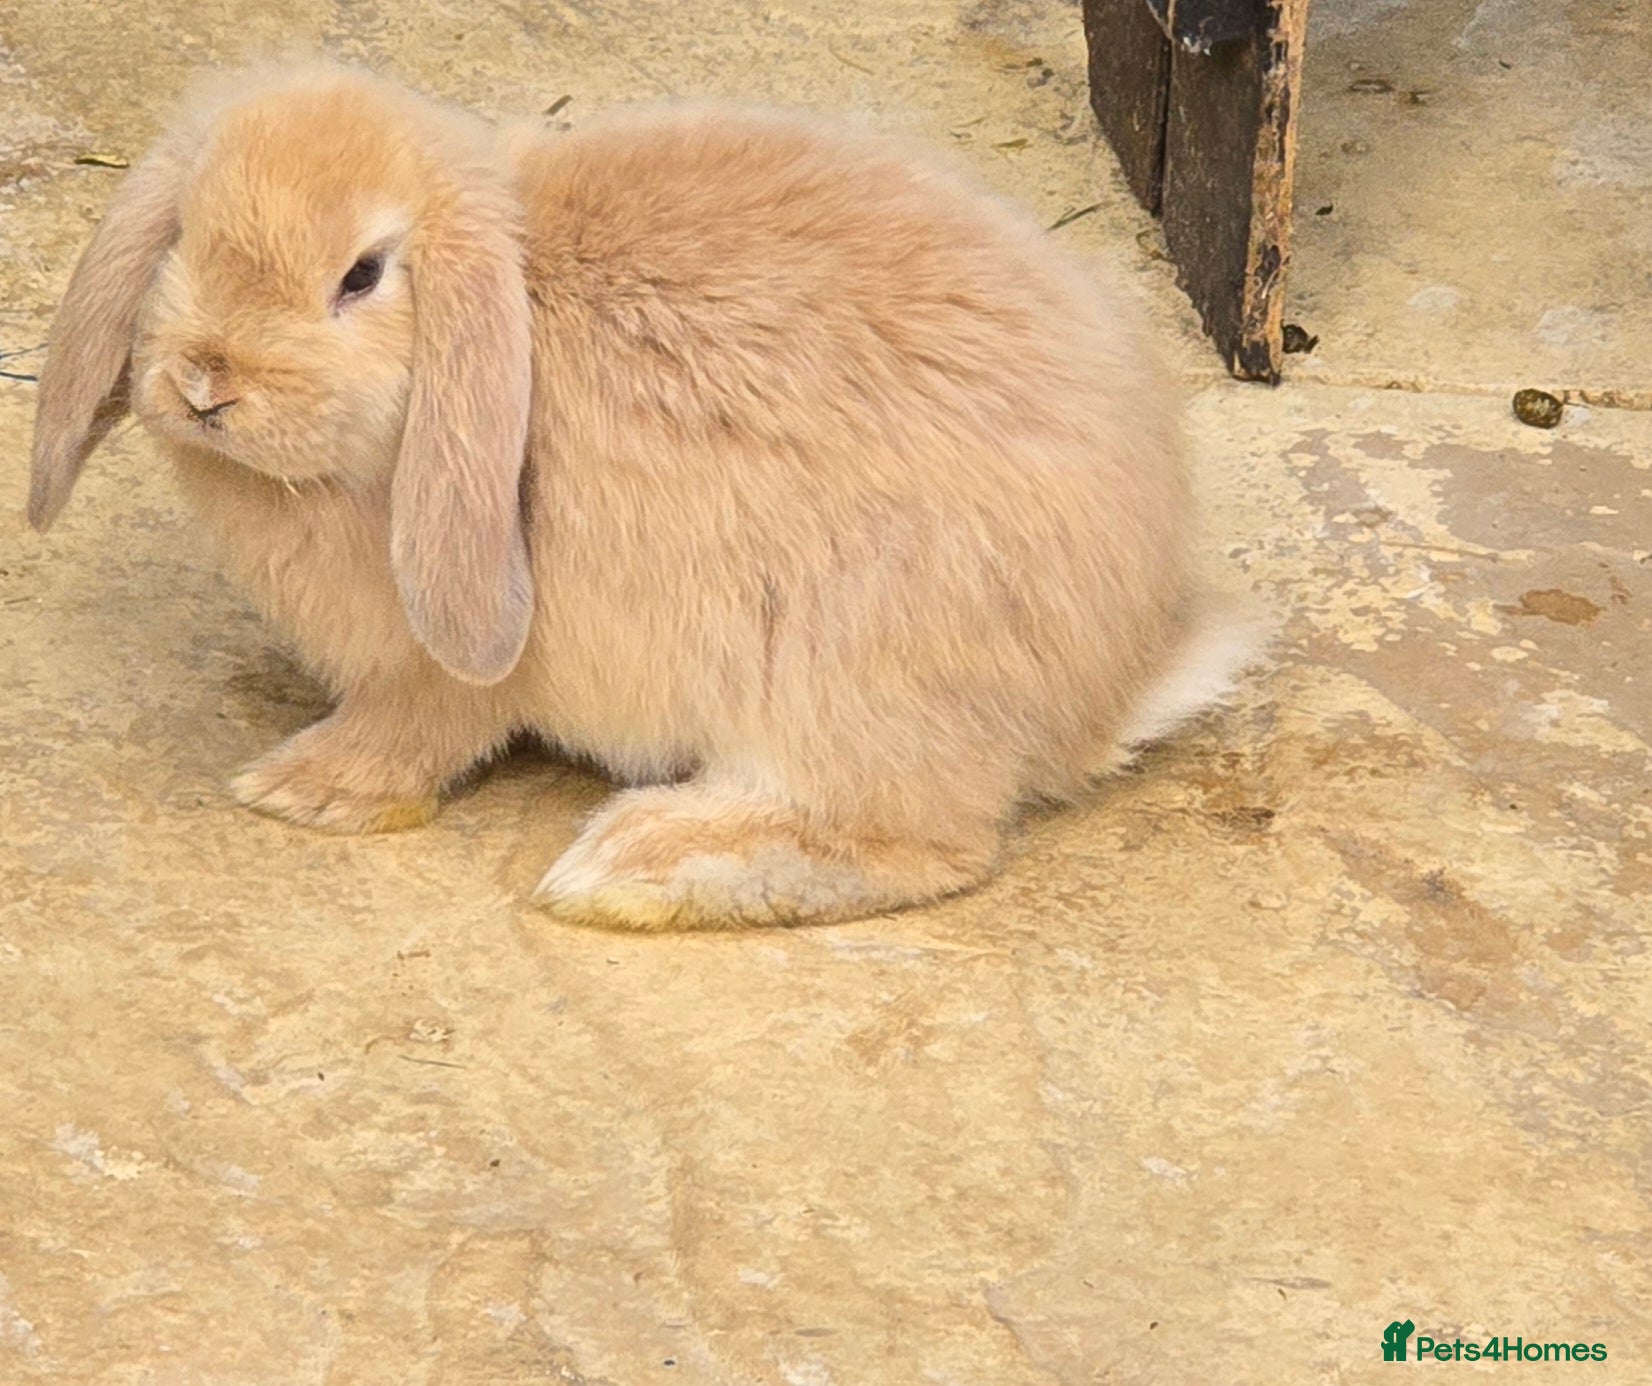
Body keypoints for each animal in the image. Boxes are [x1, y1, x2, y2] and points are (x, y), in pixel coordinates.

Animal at [28, 62, 1254, 930]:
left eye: (362, 276)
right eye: (186, 236)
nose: (205, 384)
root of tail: (1112, 679)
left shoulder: (435, 662)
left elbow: (421, 725)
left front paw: (304, 790)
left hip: (841, 672)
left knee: (918, 843)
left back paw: (631, 869)